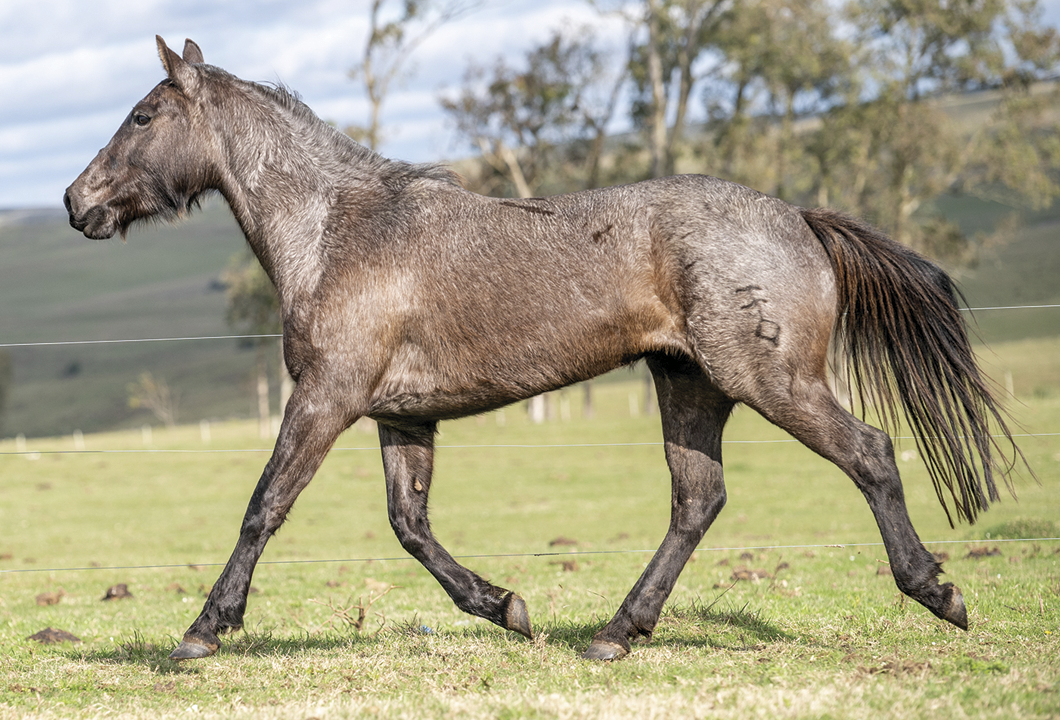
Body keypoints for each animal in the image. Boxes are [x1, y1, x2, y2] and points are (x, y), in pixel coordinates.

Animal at [62, 36, 1021, 661]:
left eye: (142, 115)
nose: (77, 203)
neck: (338, 232)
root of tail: (797, 218)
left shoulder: (326, 398)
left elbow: (265, 507)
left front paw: (202, 631)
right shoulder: (400, 418)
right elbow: (411, 528)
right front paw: (508, 608)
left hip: (771, 379)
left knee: (870, 454)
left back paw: (939, 593)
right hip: (690, 384)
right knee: (697, 500)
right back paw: (613, 635)